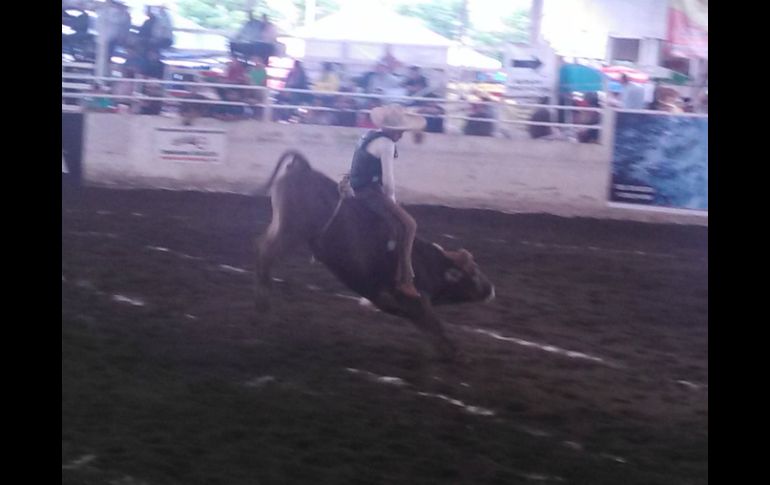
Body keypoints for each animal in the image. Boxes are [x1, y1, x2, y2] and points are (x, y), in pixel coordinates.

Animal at [255, 149, 496, 358]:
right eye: (474, 273)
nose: (492, 289)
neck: (429, 265)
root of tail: (304, 169)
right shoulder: (416, 303)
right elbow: (435, 326)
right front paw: (455, 353)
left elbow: (431, 328)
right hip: (291, 230)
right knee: (266, 253)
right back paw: (264, 301)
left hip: (281, 226)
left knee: (263, 247)